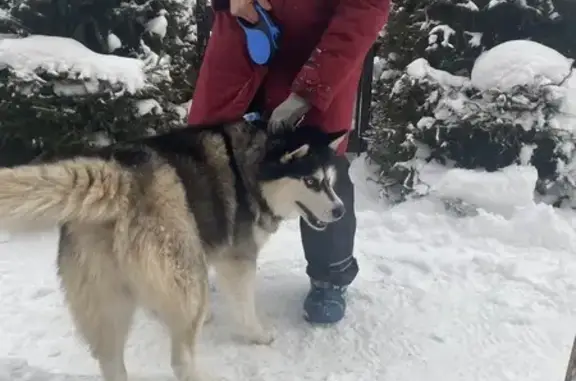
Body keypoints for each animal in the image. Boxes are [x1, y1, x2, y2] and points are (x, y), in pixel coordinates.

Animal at [0, 119, 346, 380]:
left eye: (330, 181)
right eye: (311, 182)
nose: (341, 210)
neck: (250, 165)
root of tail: (119, 174)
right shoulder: (238, 260)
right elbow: (245, 306)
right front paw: (257, 335)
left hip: (106, 302)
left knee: (112, 362)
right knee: (181, 361)